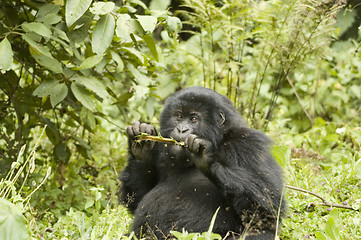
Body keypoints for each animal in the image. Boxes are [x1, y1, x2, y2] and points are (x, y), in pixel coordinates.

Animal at [119, 87, 286, 239]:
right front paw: (142, 148)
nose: (181, 130)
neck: (220, 139)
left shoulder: (249, 144)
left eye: (193, 119)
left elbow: (268, 209)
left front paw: (207, 158)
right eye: (179, 116)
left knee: (261, 232)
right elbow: (136, 197)